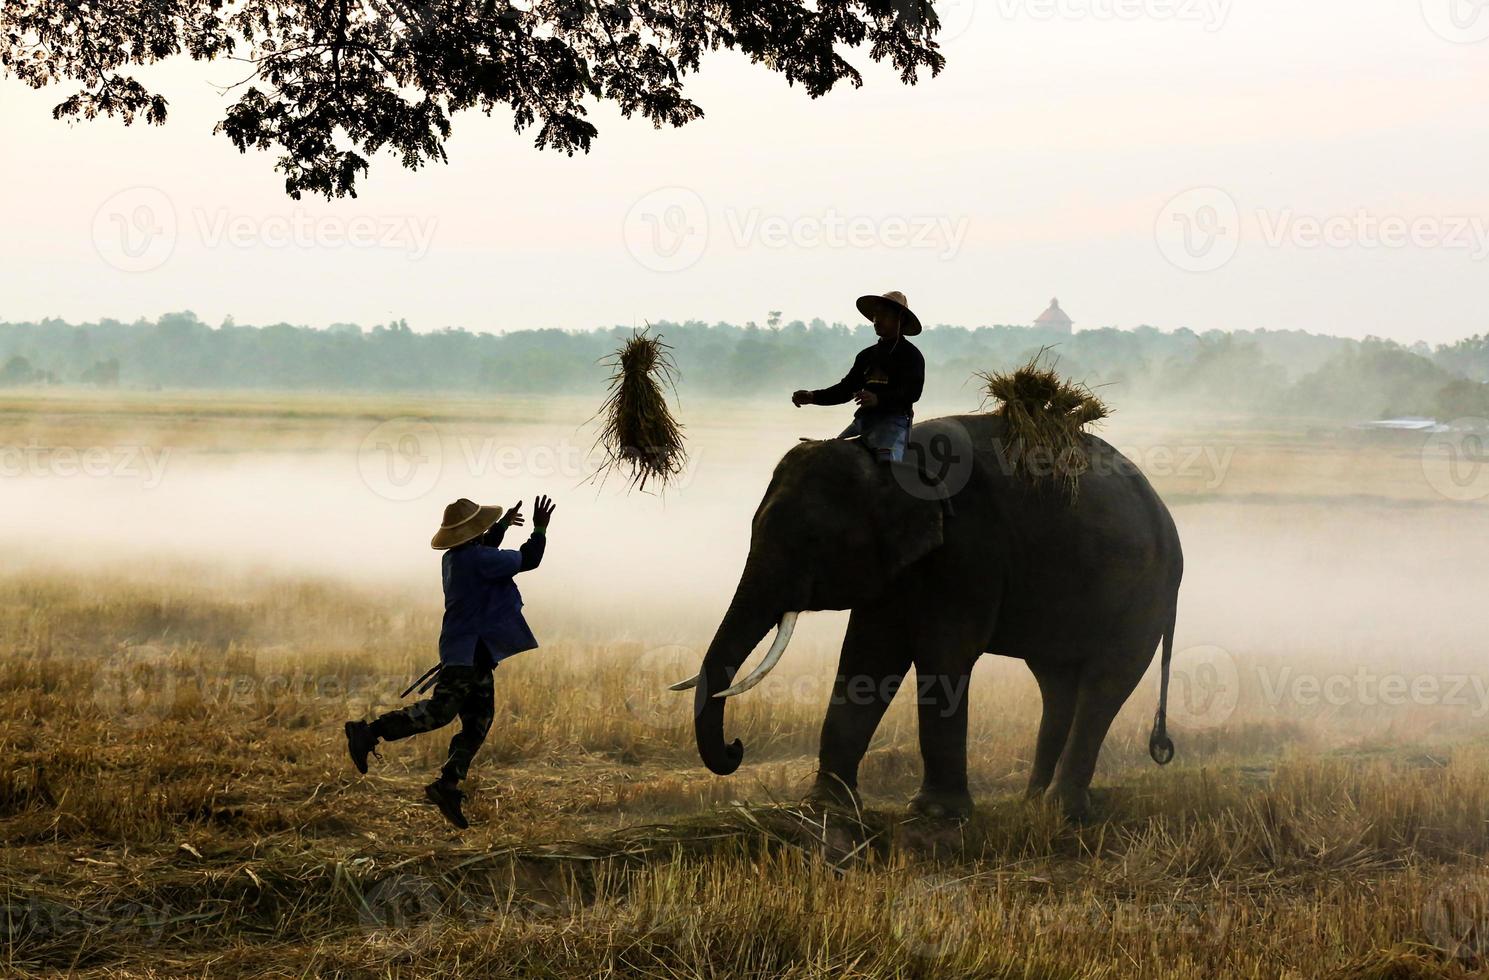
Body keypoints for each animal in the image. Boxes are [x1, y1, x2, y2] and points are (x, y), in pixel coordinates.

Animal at [673, 411, 1173, 816]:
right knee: (1057, 683)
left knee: (1106, 682)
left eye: (813, 541)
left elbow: (943, 654)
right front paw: (824, 806)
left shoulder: (969, 549)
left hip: (1147, 594)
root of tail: (1162, 510)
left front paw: (936, 813)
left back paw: (1062, 810)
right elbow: (868, 655)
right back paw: (1032, 803)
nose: (736, 747)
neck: (887, 462)